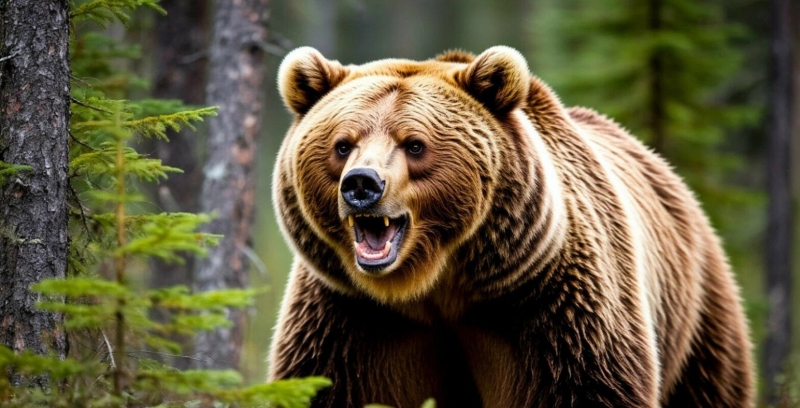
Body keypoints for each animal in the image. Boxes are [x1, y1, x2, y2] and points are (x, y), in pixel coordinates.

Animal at [268, 45, 754, 408]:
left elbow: (583, 385)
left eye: (415, 144)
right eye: (342, 144)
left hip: (696, 313)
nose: (362, 184)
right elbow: (335, 385)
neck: (434, 287)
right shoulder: (354, 318)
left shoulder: (549, 307)